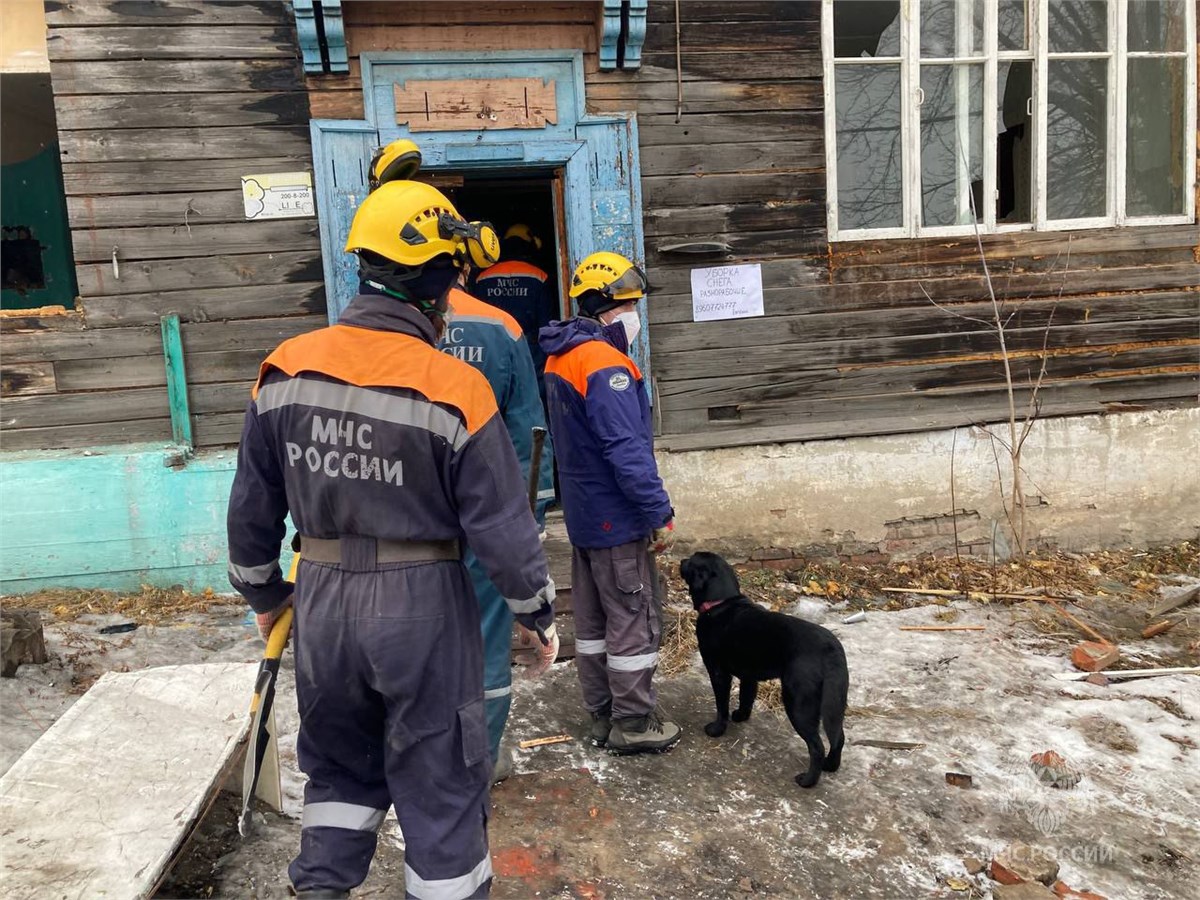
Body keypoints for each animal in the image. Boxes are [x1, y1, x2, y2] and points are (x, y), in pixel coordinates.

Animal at [681, 549, 849, 787]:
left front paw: (717, 729)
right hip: (835, 703)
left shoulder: (718, 671)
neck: (721, 603)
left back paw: (807, 781)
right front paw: (740, 716)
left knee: (817, 746)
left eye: (692, 561)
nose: (681, 560)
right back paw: (830, 766)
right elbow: (746, 698)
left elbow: (721, 704)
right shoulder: (748, 675)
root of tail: (831, 649)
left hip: (799, 703)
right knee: (838, 737)